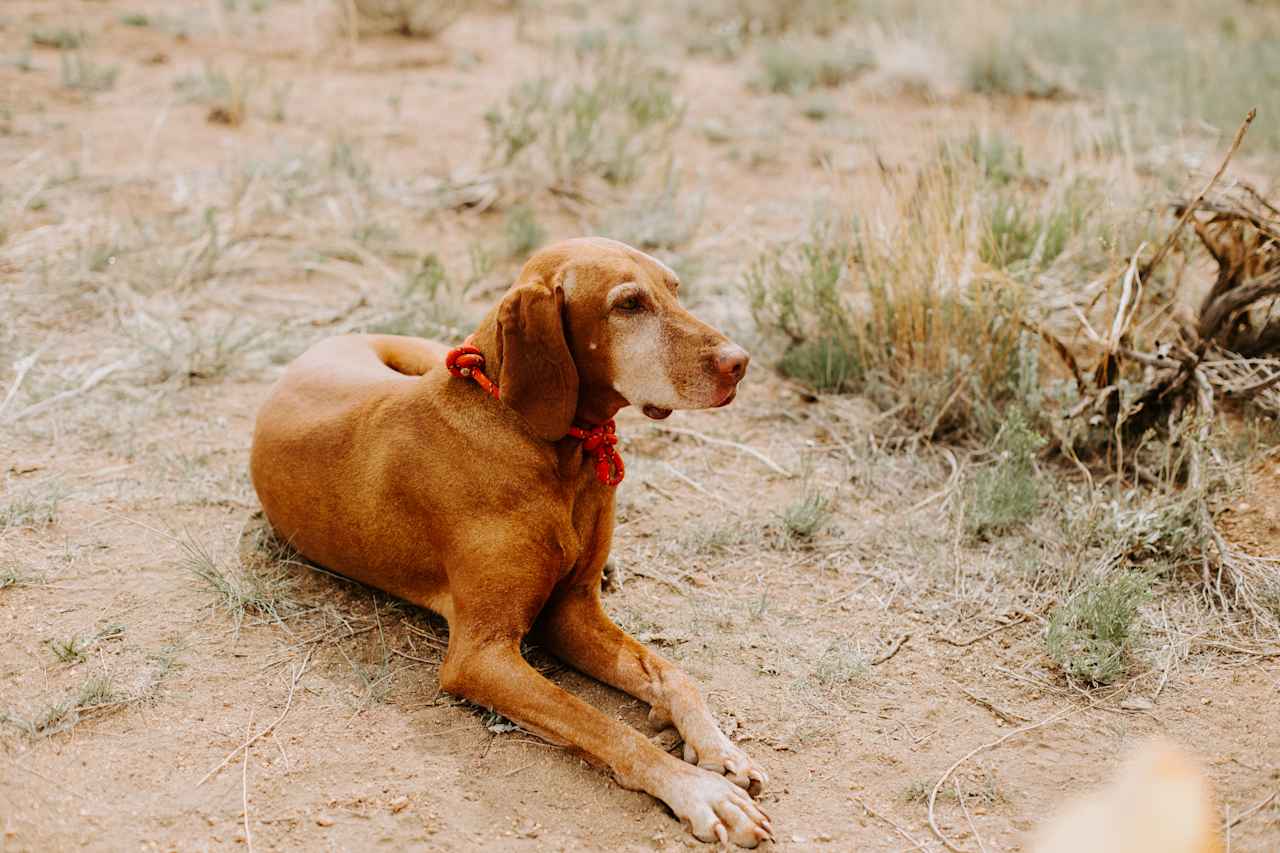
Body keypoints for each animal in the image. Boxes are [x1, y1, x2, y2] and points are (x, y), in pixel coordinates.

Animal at [249, 236, 768, 845]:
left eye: (675, 288)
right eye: (628, 305)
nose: (740, 362)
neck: (548, 444)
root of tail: (330, 340)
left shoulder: (571, 612)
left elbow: (674, 675)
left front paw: (718, 748)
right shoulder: (481, 654)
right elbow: (602, 724)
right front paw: (700, 791)